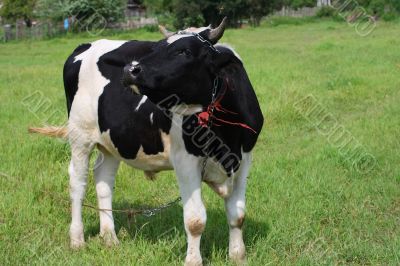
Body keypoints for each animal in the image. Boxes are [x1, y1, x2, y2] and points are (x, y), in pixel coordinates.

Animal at [30, 18, 262, 264]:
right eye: (155, 48)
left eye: (184, 51)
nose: (130, 69)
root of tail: (86, 44)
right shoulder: (185, 161)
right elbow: (195, 220)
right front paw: (193, 260)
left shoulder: (244, 159)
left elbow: (238, 215)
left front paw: (238, 256)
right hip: (80, 136)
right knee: (77, 183)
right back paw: (77, 239)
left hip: (112, 142)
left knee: (103, 180)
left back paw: (109, 237)